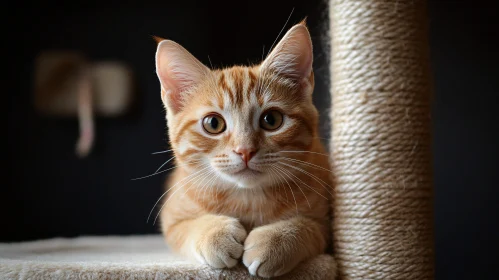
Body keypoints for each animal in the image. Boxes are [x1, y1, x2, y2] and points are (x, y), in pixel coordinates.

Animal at [154, 22, 334, 278]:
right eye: (213, 123)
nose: (245, 150)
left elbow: (309, 227)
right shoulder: (171, 216)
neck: (247, 198)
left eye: (271, 120)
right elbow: (186, 228)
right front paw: (213, 234)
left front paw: (275, 240)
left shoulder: (325, 222)